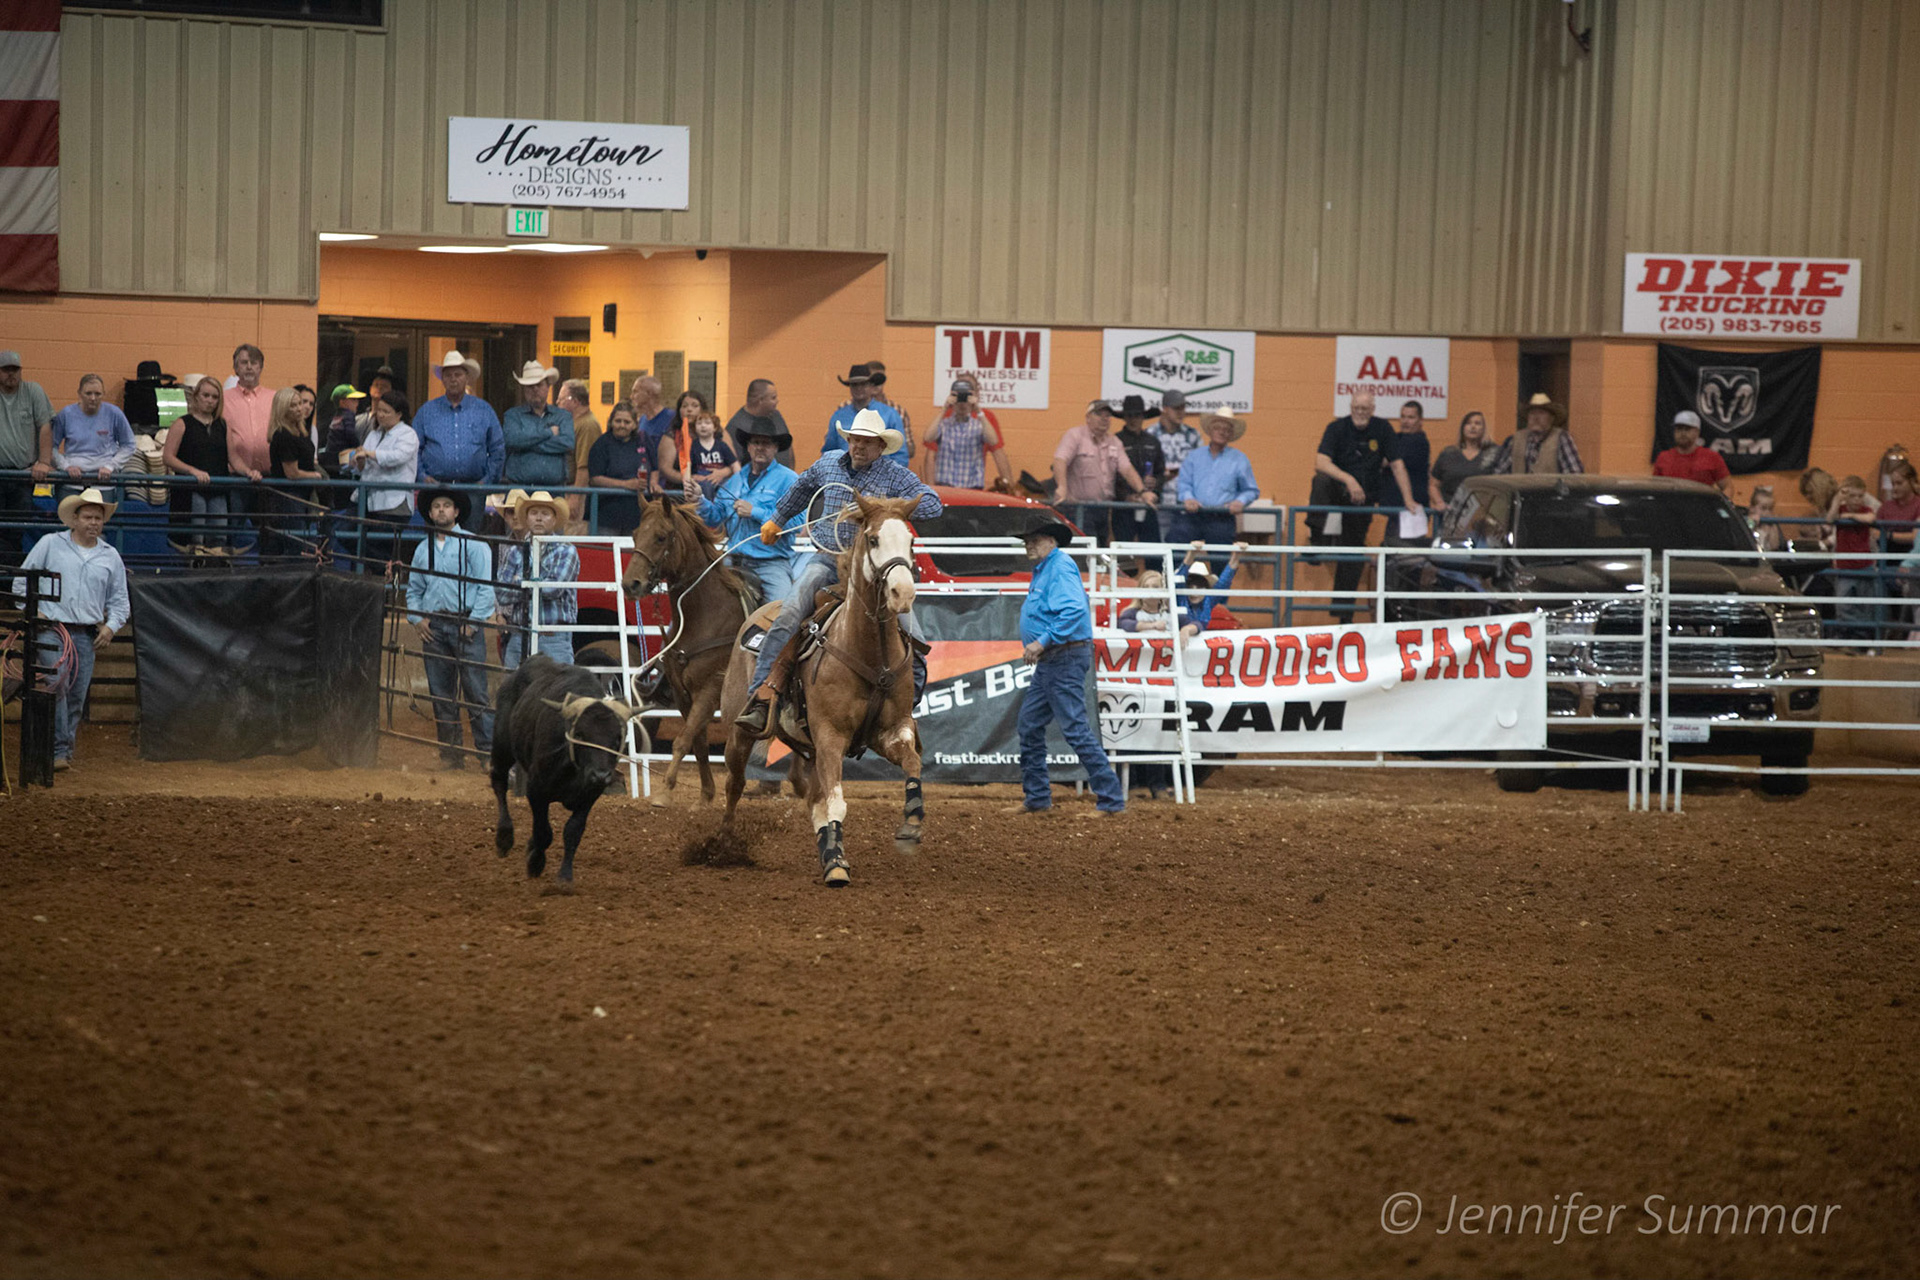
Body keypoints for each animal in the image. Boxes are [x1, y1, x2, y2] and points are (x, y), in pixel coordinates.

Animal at [625, 495, 752, 805]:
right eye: (635, 533)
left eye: (660, 536)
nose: (630, 583)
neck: (703, 615)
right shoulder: (682, 693)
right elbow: (698, 742)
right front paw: (706, 795)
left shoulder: (710, 689)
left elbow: (682, 739)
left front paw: (664, 790)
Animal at [721, 495, 929, 886]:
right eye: (874, 539)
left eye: (911, 541)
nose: (903, 593)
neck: (869, 651)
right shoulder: (831, 736)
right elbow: (836, 802)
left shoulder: (891, 732)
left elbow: (912, 763)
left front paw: (910, 825)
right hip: (738, 733)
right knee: (735, 783)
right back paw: (720, 845)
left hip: (809, 748)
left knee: (809, 796)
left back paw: (830, 855)